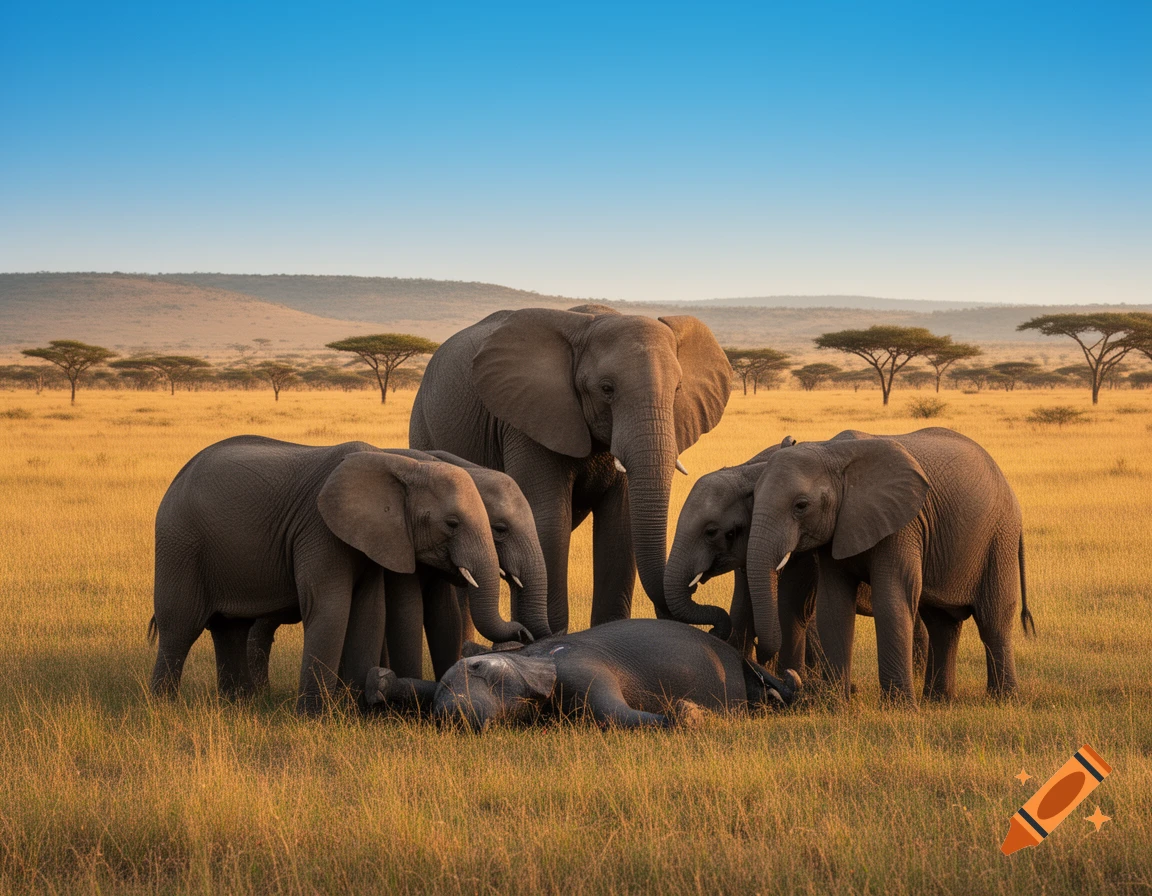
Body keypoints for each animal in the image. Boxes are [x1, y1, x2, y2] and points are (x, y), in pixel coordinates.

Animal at [366, 619, 802, 731]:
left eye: (478, 667)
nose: (450, 719)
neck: (532, 653)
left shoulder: (579, 669)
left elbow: (614, 713)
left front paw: (690, 714)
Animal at [409, 305, 732, 634]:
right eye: (606, 389)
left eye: (678, 389)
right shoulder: (527, 423)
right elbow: (551, 521)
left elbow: (620, 525)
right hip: (423, 426)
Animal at [745, 427, 1035, 705]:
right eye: (752, 497)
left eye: (801, 506)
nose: (783, 677)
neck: (832, 452)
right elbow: (833, 605)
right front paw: (835, 705)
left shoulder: (903, 525)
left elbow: (891, 599)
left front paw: (899, 708)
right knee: (942, 625)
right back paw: (939, 701)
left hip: (1000, 539)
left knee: (992, 620)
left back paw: (1004, 700)